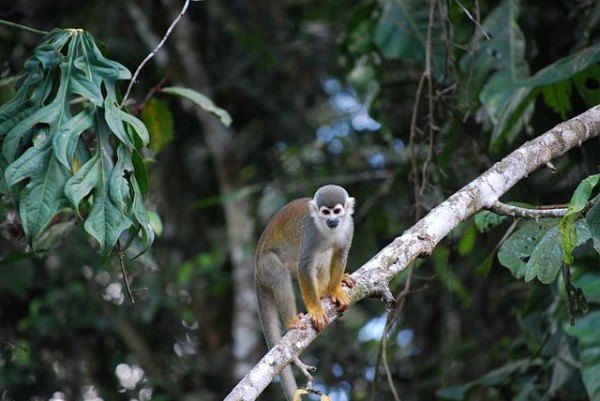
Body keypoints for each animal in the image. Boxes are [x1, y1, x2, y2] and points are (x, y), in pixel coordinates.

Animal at [254, 183, 356, 398]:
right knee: (281, 274)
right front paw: (315, 310)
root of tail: (256, 269)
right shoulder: (311, 233)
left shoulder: (349, 226)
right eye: (325, 212)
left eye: (337, 211)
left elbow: (340, 254)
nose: (332, 220)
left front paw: (335, 290)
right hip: (266, 264)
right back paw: (292, 321)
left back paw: (326, 289)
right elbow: (305, 266)